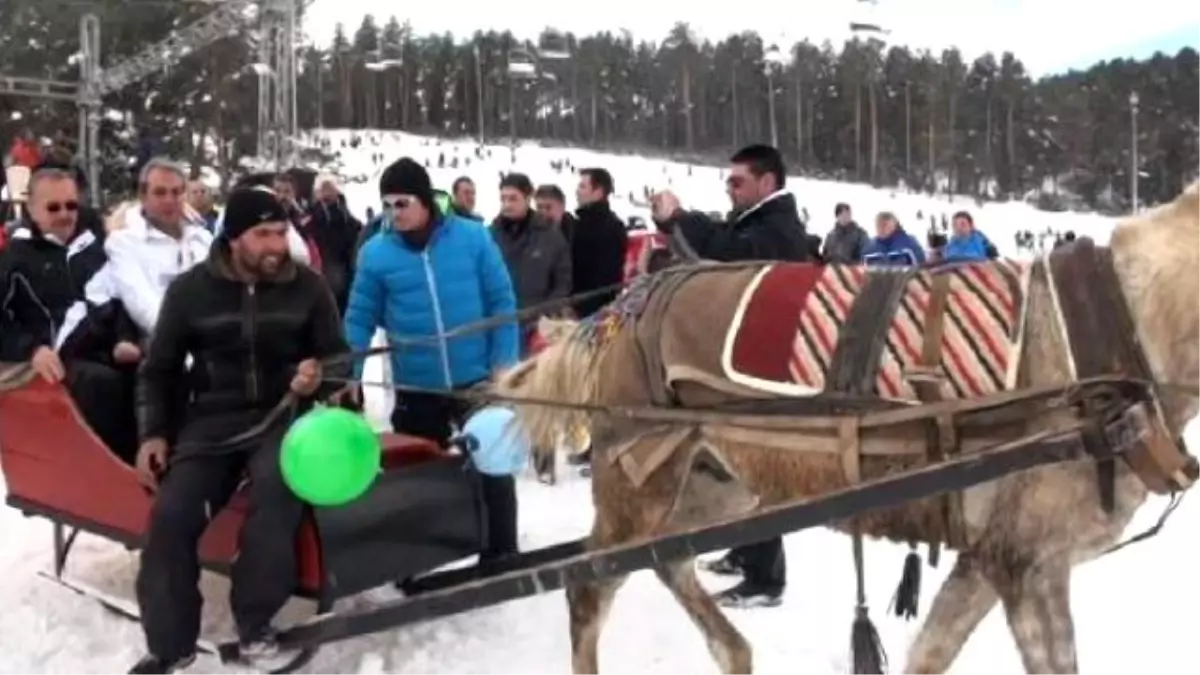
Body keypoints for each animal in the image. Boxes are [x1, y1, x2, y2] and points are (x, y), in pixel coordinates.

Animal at [499, 180, 1200, 672]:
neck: (1130, 327)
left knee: (666, 564)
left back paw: (737, 654)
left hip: (713, 484)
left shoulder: (999, 556)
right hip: (639, 483)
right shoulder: (1026, 562)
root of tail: (623, 305)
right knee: (588, 587)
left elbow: (929, 655)